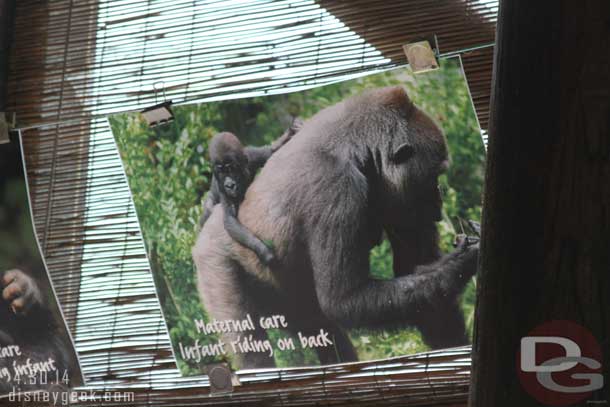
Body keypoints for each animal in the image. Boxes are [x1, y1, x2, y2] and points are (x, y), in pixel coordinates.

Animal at [198, 119, 300, 266]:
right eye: (221, 172)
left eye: (231, 169)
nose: (229, 185)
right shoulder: (221, 187)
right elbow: (230, 220)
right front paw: (263, 251)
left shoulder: (251, 155)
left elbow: (270, 151)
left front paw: (290, 132)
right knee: (208, 209)